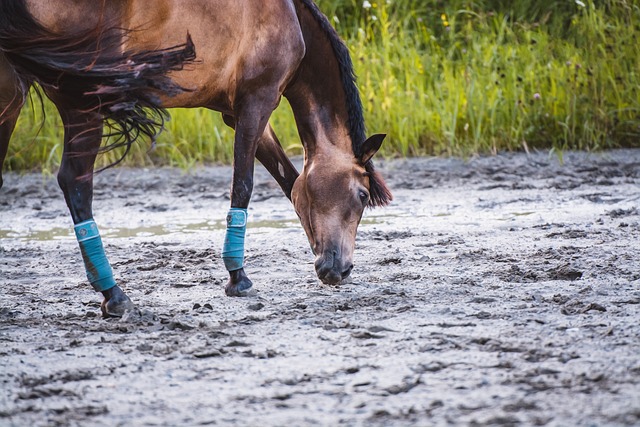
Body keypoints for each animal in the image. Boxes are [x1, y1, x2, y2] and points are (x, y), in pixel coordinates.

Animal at [0, 0, 392, 318]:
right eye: (361, 196)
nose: (341, 269)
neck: (291, 17)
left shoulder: (236, 112)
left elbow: (290, 181)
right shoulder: (257, 102)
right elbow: (244, 185)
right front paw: (238, 276)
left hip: (13, 95)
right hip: (82, 101)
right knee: (75, 183)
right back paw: (114, 295)